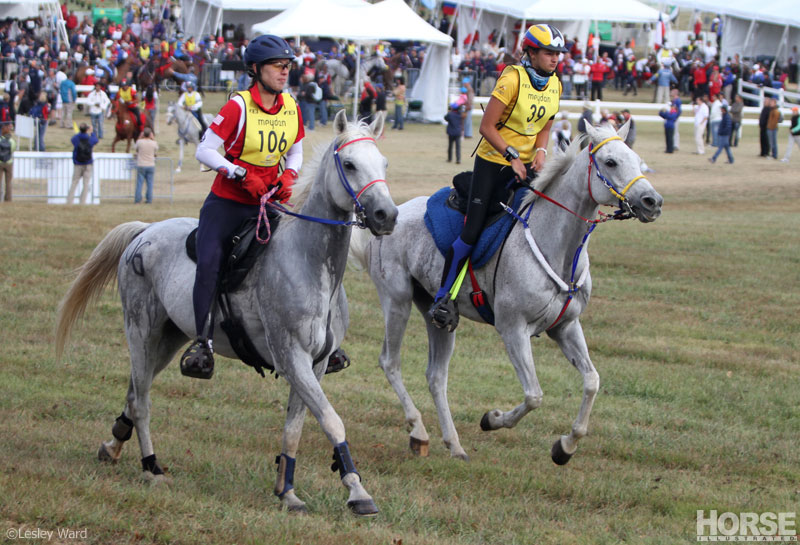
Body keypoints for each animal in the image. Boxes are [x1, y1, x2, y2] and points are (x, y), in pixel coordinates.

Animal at [54, 109, 398, 516]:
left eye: (384, 163)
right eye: (349, 164)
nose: (386, 215)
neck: (310, 261)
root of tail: (145, 232)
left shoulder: (315, 364)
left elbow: (295, 428)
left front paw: (287, 490)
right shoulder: (292, 357)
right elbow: (332, 420)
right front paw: (357, 492)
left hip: (169, 338)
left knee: (135, 389)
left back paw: (113, 445)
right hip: (140, 330)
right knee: (141, 400)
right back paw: (151, 466)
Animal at [350, 122, 664, 464]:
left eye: (637, 159)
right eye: (610, 162)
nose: (653, 201)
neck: (555, 244)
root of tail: (390, 215)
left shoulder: (566, 327)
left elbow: (592, 381)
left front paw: (565, 447)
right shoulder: (513, 329)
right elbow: (534, 395)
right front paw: (492, 419)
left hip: (437, 315)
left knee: (436, 376)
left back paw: (455, 445)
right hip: (397, 301)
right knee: (390, 362)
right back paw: (419, 431)